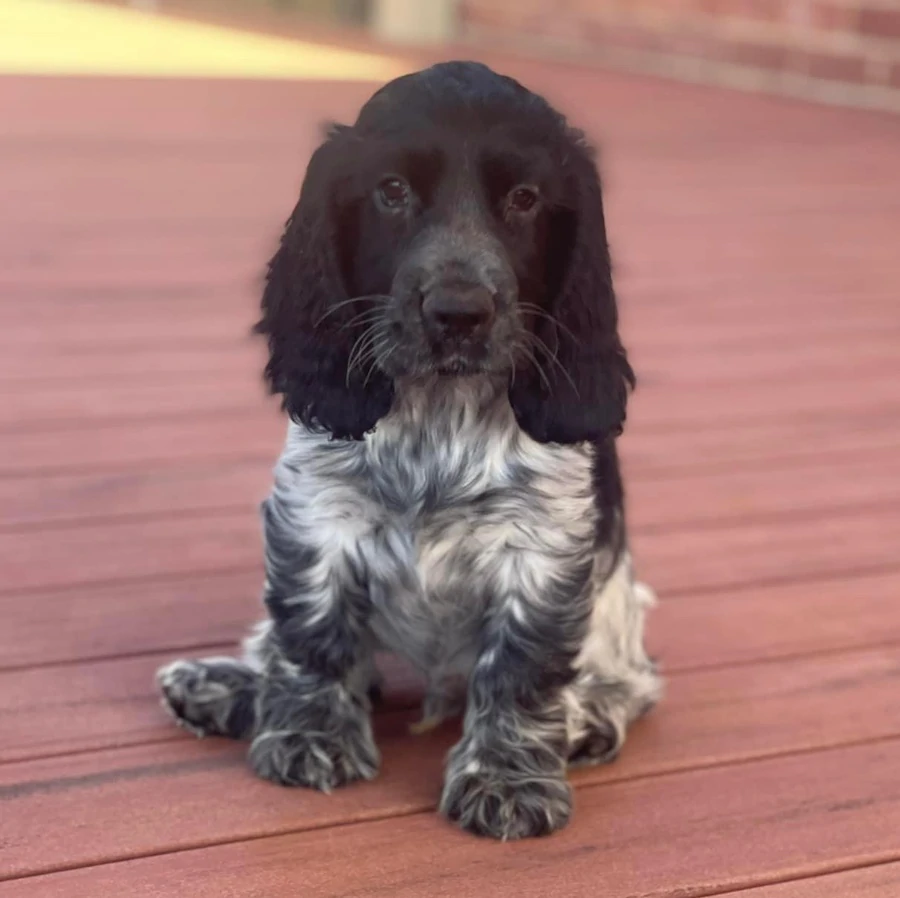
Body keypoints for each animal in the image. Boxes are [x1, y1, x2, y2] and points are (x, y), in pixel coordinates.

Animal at [156, 61, 660, 840]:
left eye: (524, 199)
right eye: (391, 191)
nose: (458, 313)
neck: (439, 416)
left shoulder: (544, 549)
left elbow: (521, 669)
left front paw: (507, 781)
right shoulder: (317, 517)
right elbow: (313, 635)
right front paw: (310, 737)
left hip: (617, 610)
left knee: (625, 682)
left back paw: (585, 723)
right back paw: (222, 688)